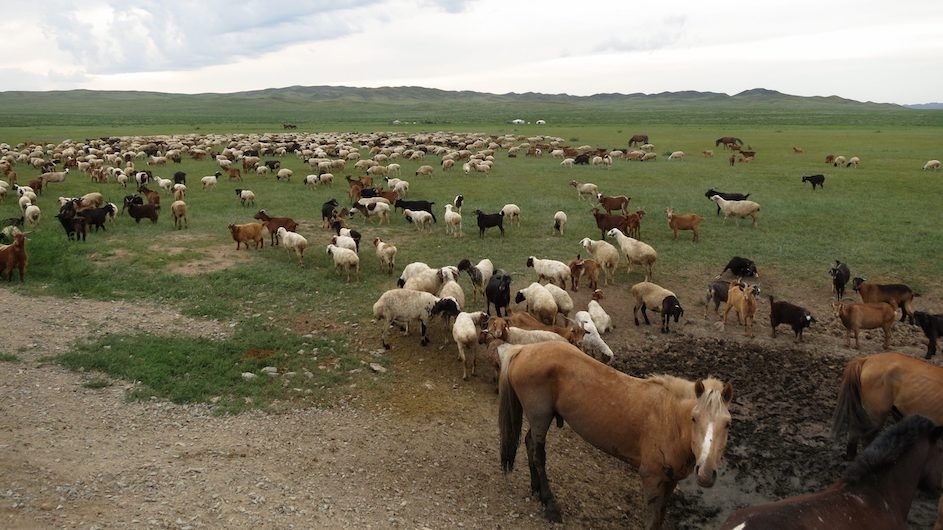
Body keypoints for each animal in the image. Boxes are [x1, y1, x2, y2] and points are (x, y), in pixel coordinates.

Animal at [498, 340, 732, 524]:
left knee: (529, 443)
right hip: (540, 417)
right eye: (694, 418)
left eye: (728, 424)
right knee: (538, 454)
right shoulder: (652, 478)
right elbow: (652, 520)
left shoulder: (671, 480)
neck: (669, 420)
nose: (706, 473)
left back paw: (536, 489)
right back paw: (550, 504)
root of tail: (523, 349)